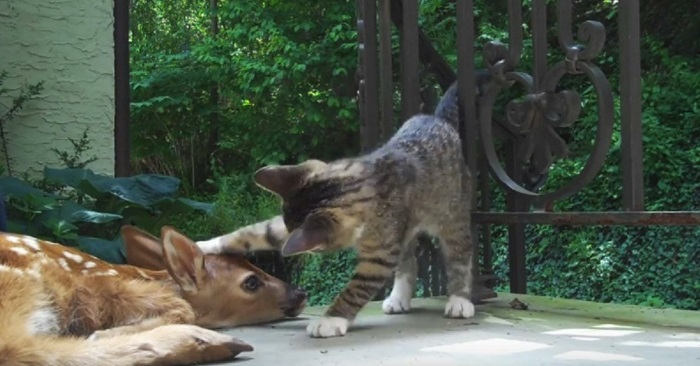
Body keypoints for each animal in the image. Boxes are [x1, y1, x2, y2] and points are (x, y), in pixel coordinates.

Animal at [200, 82, 478, 338]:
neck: (364, 184)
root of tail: (438, 120)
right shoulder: (289, 222)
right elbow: (256, 232)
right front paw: (205, 245)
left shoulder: (380, 253)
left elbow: (356, 289)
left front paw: (331, 320)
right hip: (404, 230)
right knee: (408, 260)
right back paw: (399, 298)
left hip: (453, 213)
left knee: (460, 254)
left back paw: (459, 299)